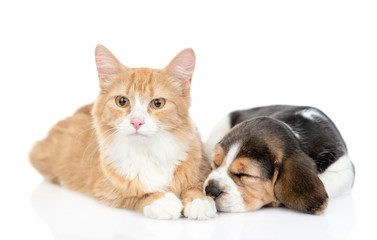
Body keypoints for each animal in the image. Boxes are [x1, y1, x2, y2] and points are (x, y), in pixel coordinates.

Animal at [29, 44, 216, 219]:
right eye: (122, 101)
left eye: (157, 103)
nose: (136, 122)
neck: (147, 152)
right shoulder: (106, 189)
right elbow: (137, 194)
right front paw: (162, 200)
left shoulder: (200, 165)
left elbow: (196, 186)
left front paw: (200, 201)